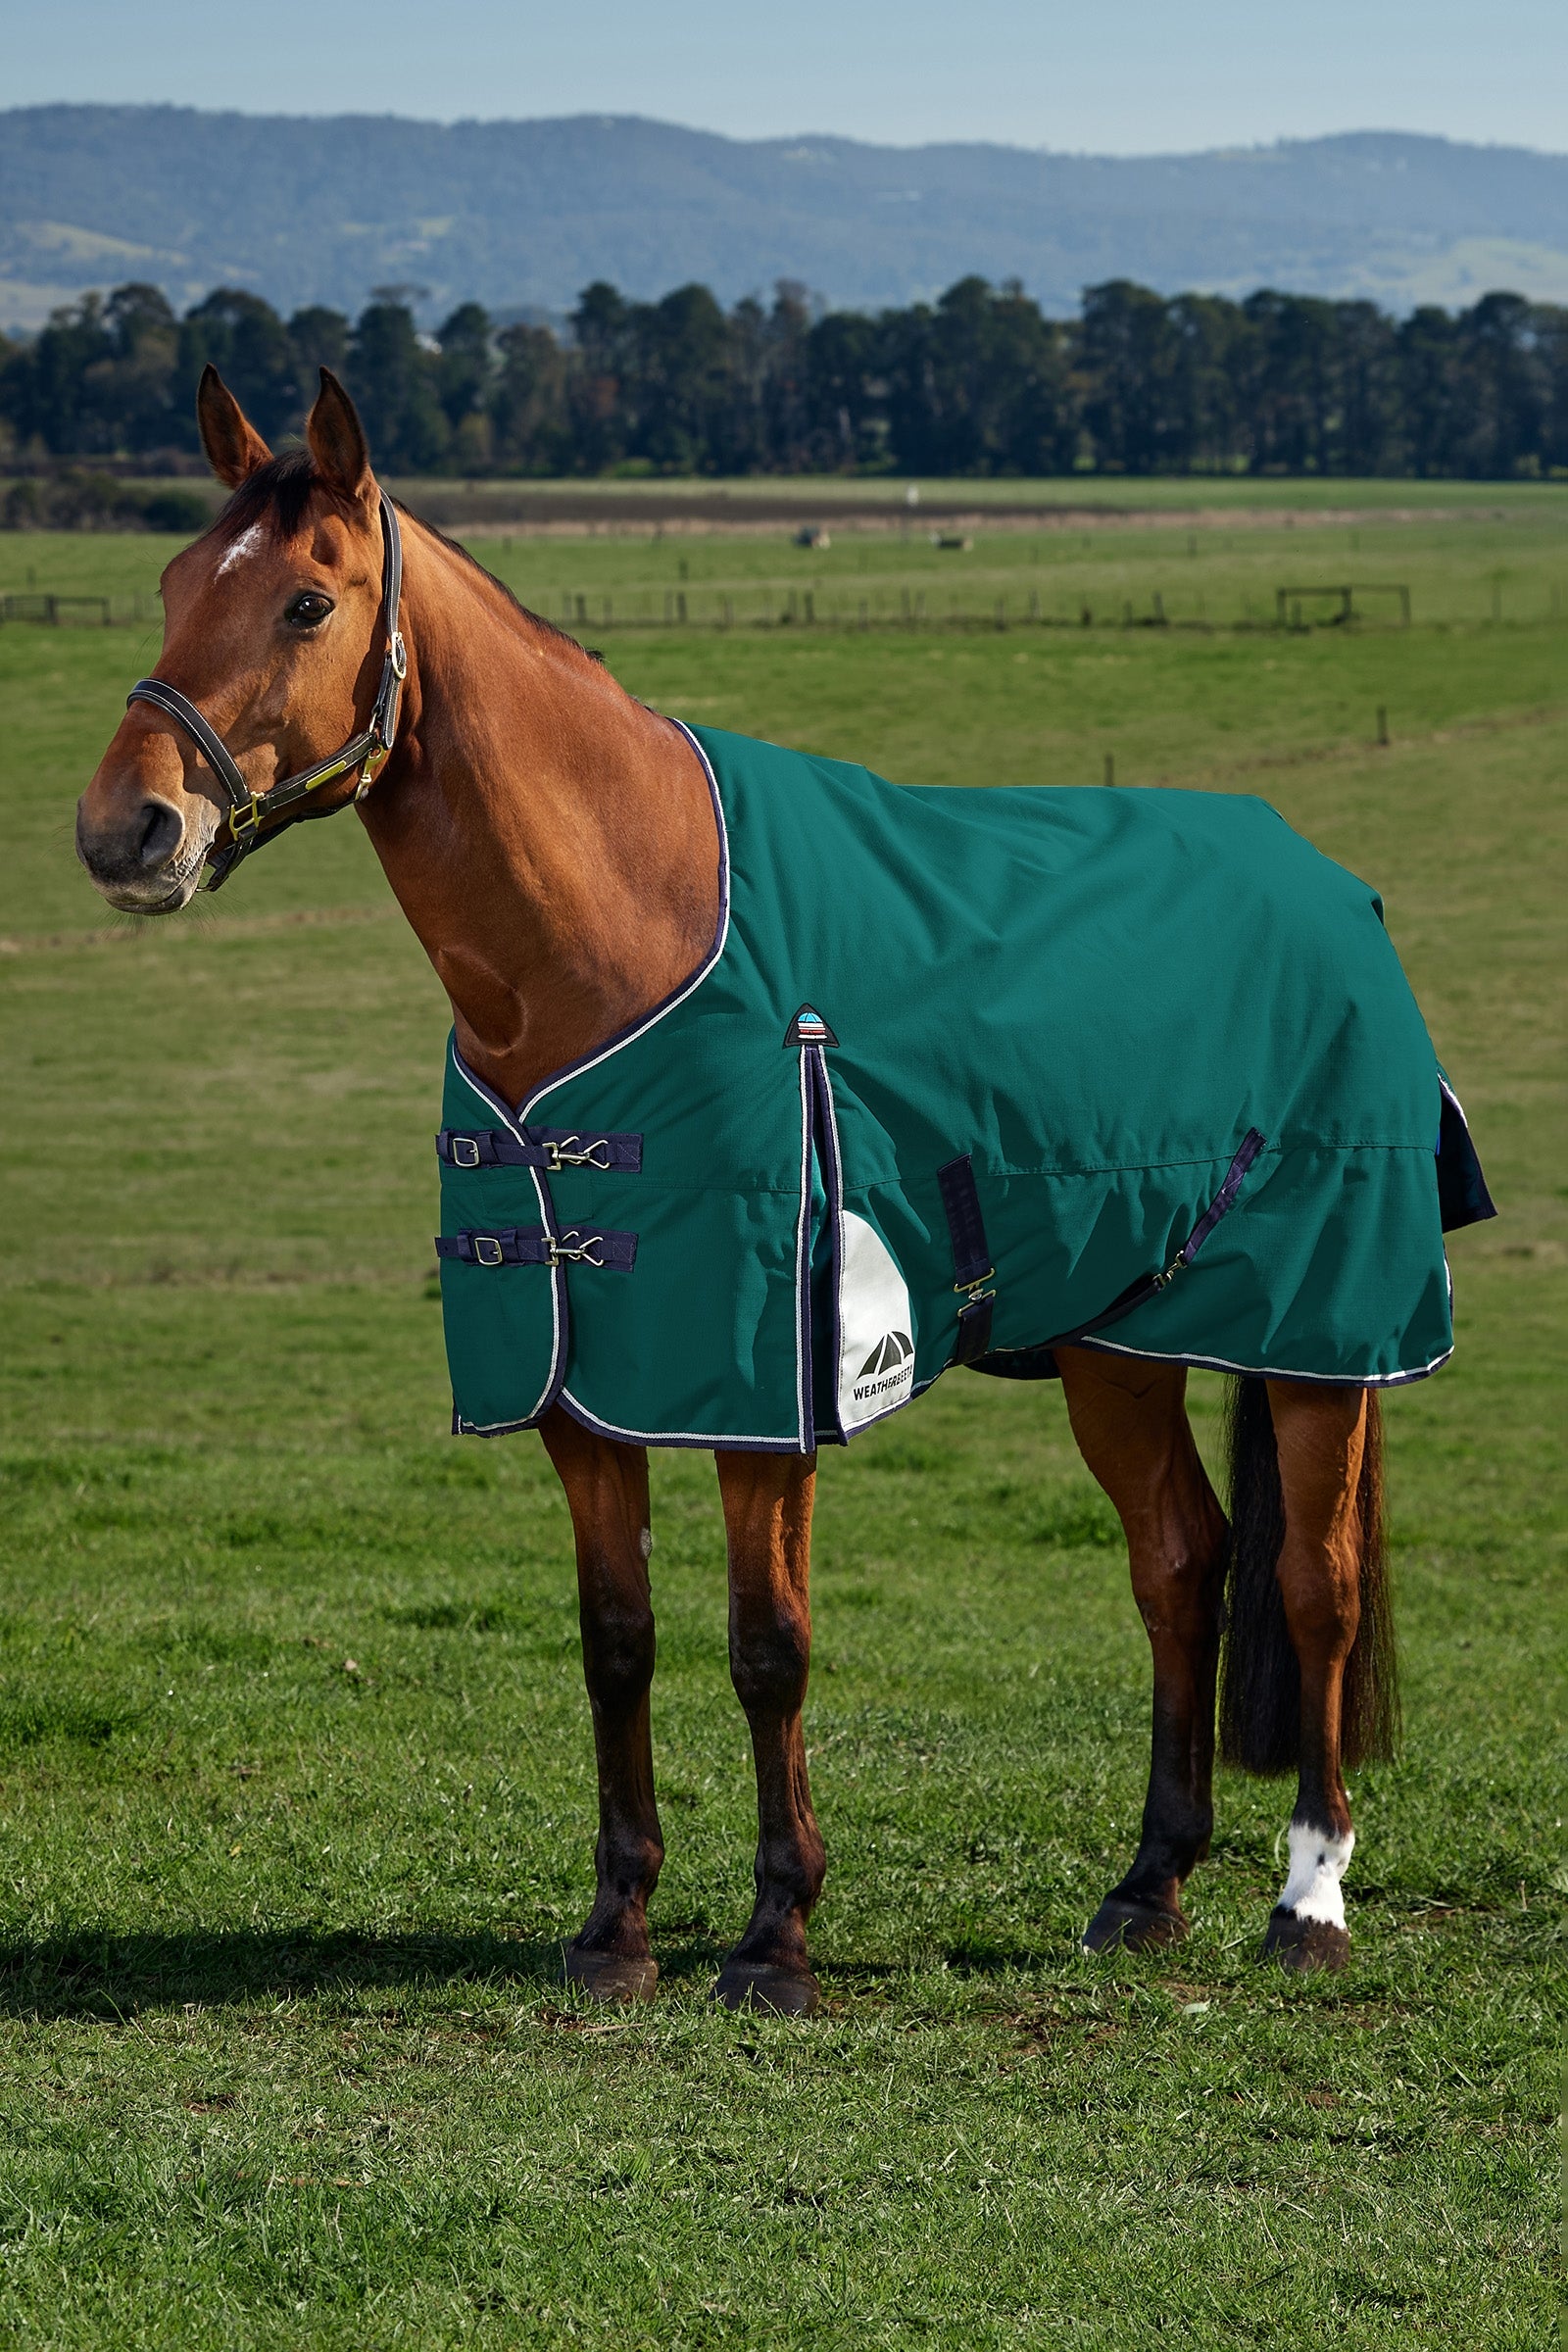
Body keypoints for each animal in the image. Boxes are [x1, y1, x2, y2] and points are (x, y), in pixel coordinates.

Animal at [74, 366, 1438, 2014]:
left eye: (306, 602)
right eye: (169, 585)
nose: (125, 829)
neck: (621, 934)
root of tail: (1335, 888)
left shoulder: (764, 1393)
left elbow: (766, 1644)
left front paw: (777, 1933)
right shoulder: (584, 1390)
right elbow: (616, 1640)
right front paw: (617, 1929)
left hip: (1321, 1340)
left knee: (1314, 1586)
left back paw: (1307, 1898)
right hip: (1121, 1344)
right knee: (1179, 1563)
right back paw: (1148, 1885)